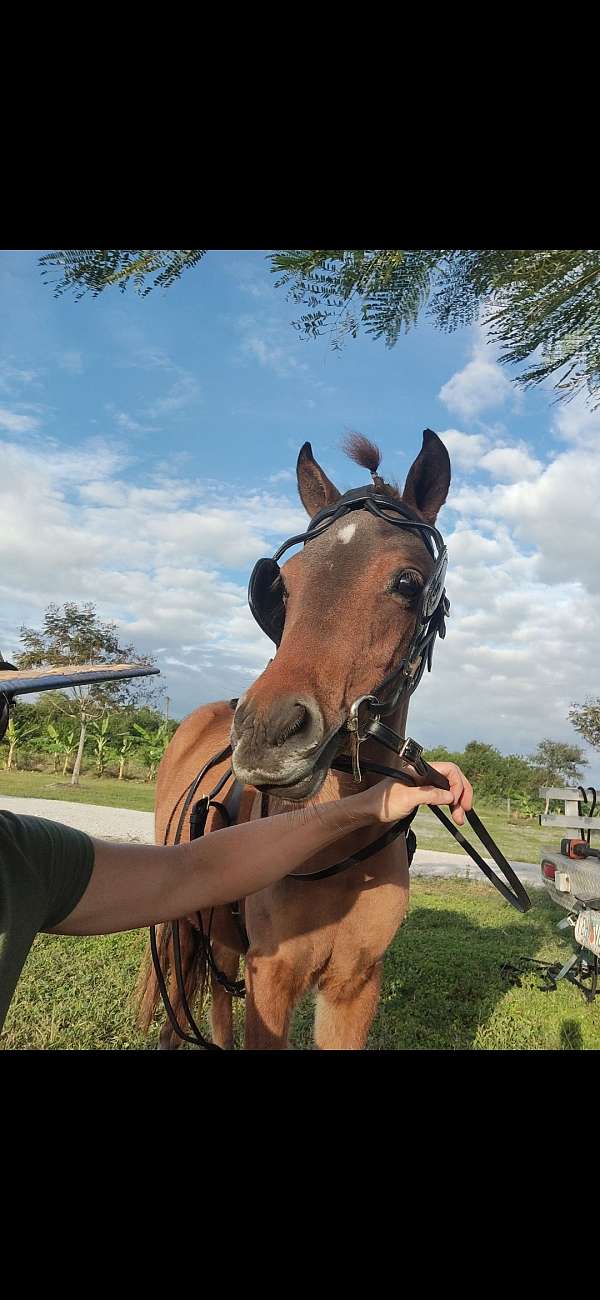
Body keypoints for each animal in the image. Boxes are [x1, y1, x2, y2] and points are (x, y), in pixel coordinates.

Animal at [136, 428, 452, 1049]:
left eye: (408, 582)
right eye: (285, 584)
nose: (266, 732)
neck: (334, 840)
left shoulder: (355, 985)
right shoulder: (273, 980)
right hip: (181, 925)